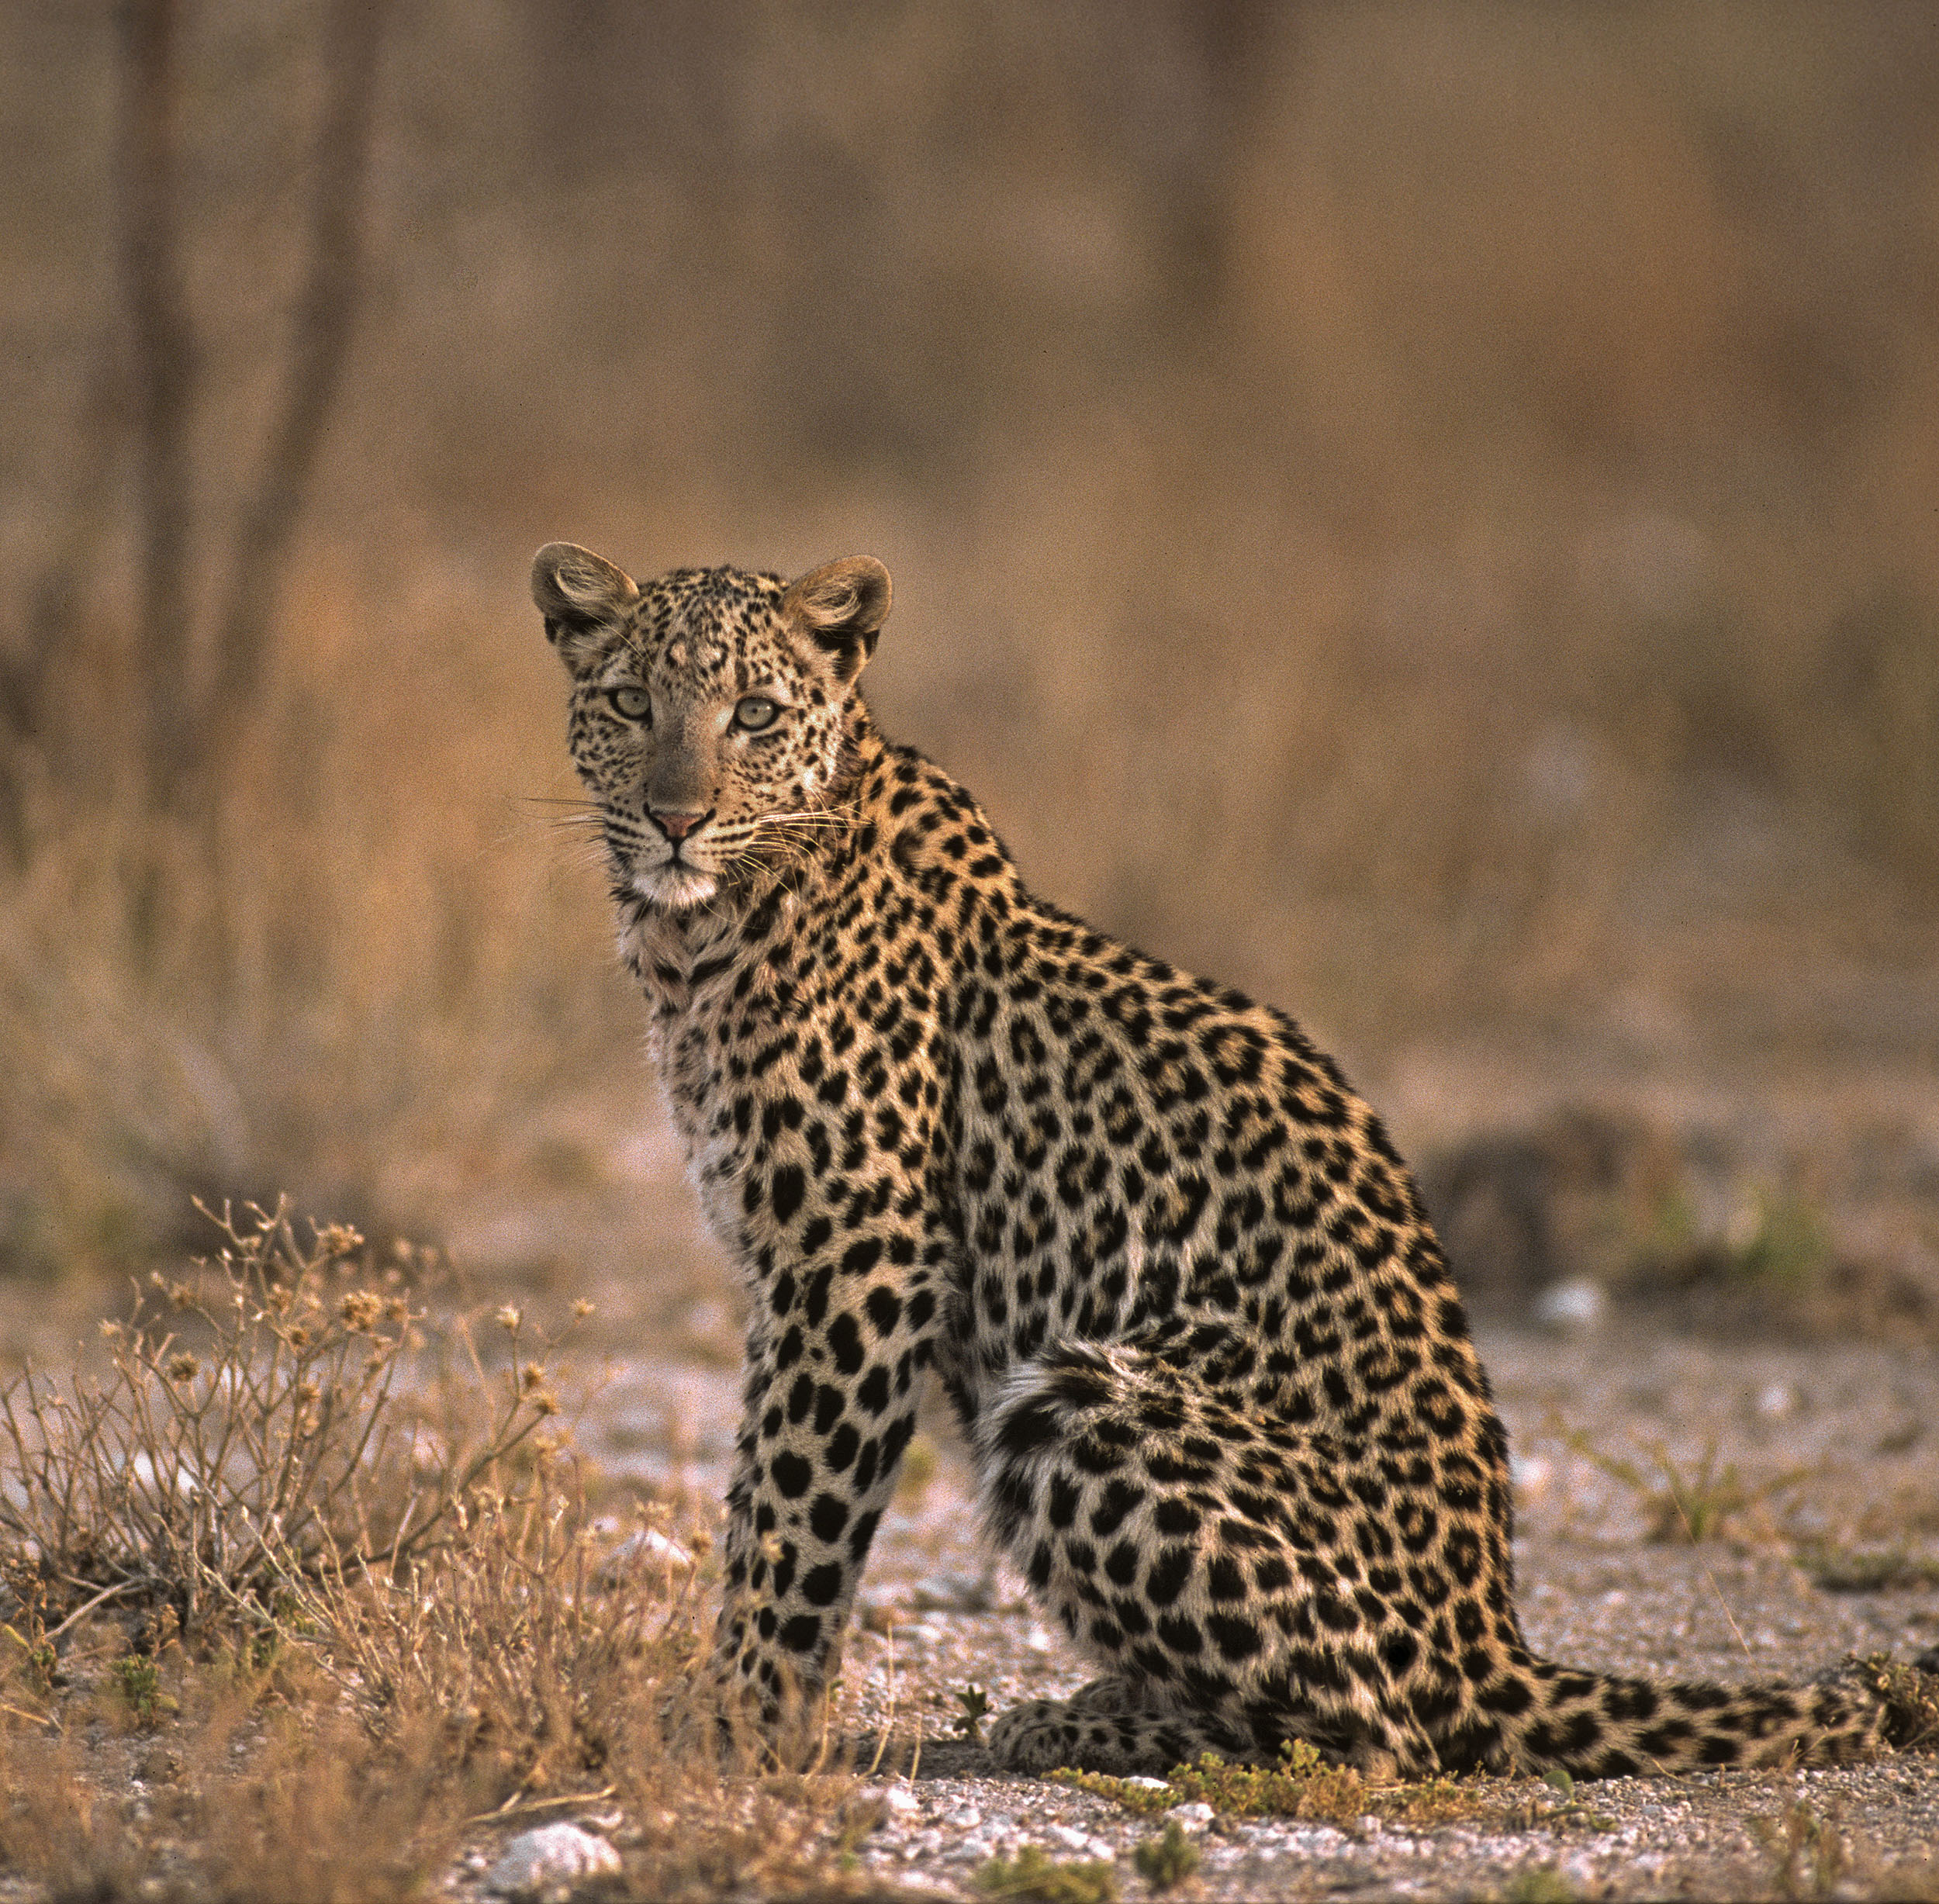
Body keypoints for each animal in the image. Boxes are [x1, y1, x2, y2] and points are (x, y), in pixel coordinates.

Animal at [535, 539, 1939, 1792]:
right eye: (631, 703)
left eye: (754, 714)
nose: (674, 817)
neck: (704, 934)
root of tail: (1497, 1638)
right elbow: (755, 1498)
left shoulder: (855, 1261)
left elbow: (793, 1511)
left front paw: (736, 1728)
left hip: (1079, 1397)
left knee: (1382, 1733)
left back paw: (1082, 1724)